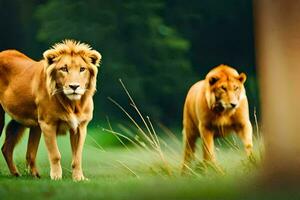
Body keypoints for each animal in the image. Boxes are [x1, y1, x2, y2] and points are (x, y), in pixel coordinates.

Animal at [0, 39, 101, 180]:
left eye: (82, 69)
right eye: (64, 68)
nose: (74, 86)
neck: (72, 104)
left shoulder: (80, 126)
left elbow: (77, 157)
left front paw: (79, 178)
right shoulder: (47, 124)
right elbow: (55, 154)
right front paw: (56, 177)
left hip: (23, 122)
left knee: (11, 149)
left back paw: (24, 174)